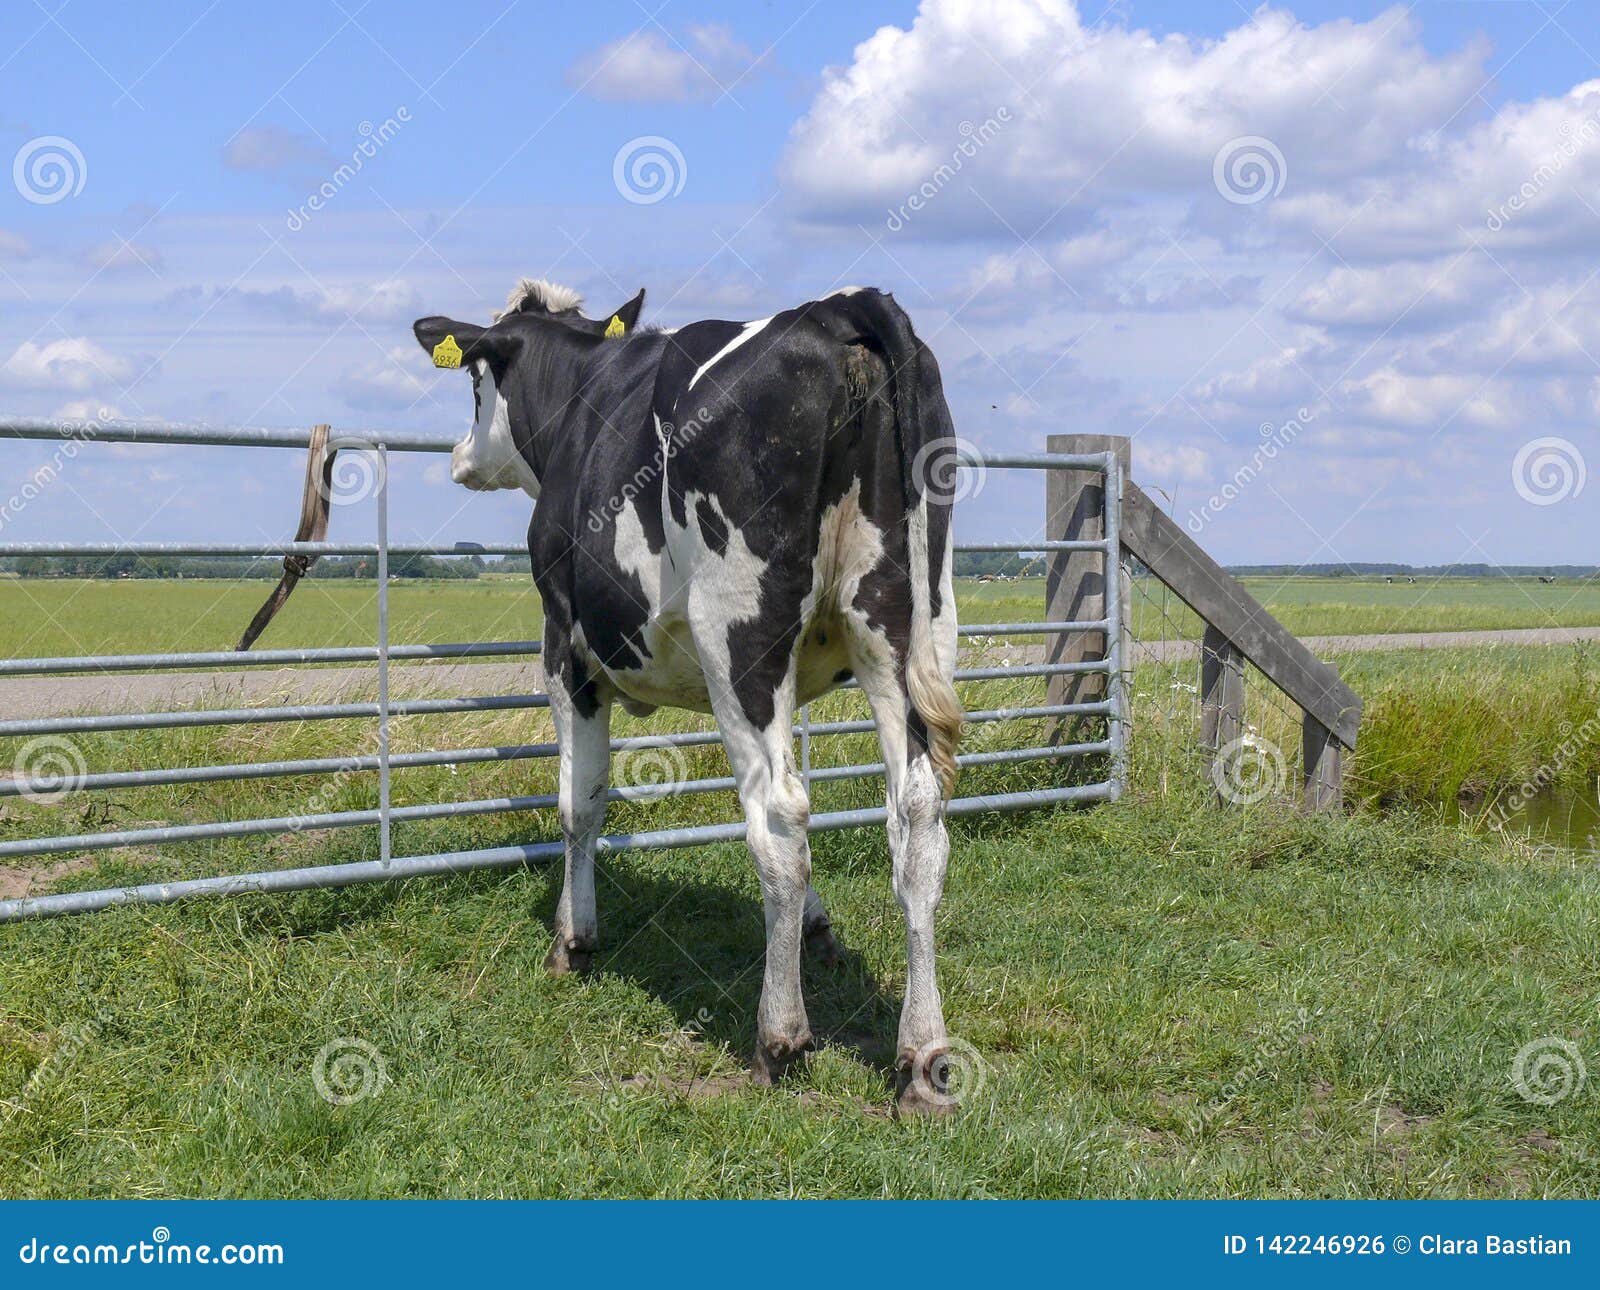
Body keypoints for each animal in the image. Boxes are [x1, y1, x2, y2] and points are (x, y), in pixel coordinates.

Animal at [412, 280, 960, 1113]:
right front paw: (817, 930)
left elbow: (581, 801)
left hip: (737, 633)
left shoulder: (565, 649)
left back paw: (779, 1038)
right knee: (916, 817)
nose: (458, 459)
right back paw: (921, 1057)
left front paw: (573, 939)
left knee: (778, 820)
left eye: (475, 379)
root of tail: (837, 308)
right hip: (906, 624)